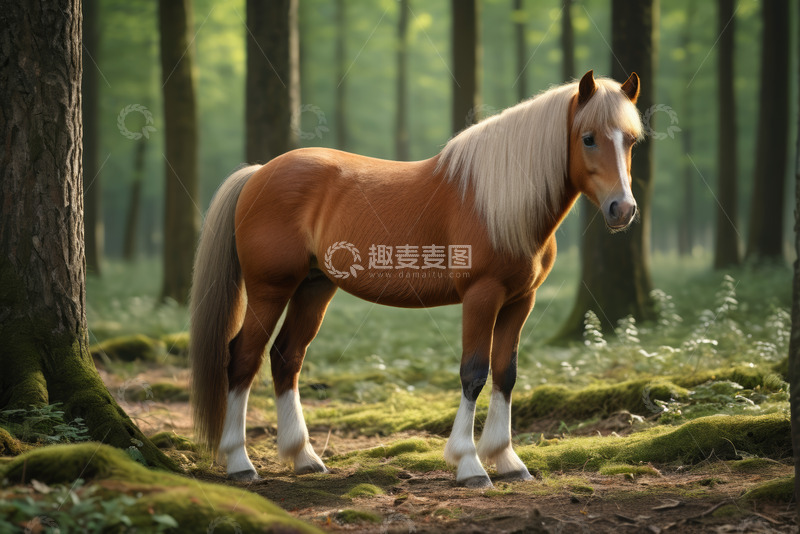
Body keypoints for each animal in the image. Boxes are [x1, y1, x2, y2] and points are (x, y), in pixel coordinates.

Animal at [189, 70, 643, 488]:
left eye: (631, 140)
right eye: (588, 138)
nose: (622, 209)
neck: (497, 202)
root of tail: (259, 173)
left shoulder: (520, 300)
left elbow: (505, 374)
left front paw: (508, 461)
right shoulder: (482, 296)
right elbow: (474, 373)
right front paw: (470, 465)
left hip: (314, 288)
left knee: (287, 358)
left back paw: (304, 457)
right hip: (270, 289)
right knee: (243, 358)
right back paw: (240, 462)